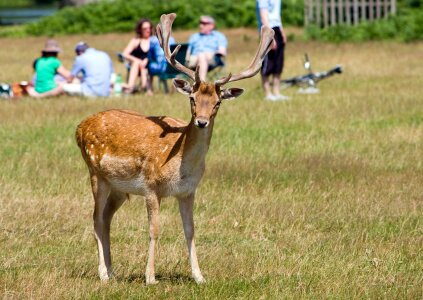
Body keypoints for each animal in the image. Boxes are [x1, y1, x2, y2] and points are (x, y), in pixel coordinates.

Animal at [76, 13, 274, 284]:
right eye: (192, 98)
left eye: (218, 102)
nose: (201, 121)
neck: (180, 166)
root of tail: (79, 127)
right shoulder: (150, 187)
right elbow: (154, 230)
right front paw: (150, 277)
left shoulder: (188, 191)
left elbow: (190, 230)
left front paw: (199, 276)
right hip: (96, 173)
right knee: (95, 218)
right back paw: (103, 274)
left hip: (119, 188)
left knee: (106, 218)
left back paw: (113, 270)